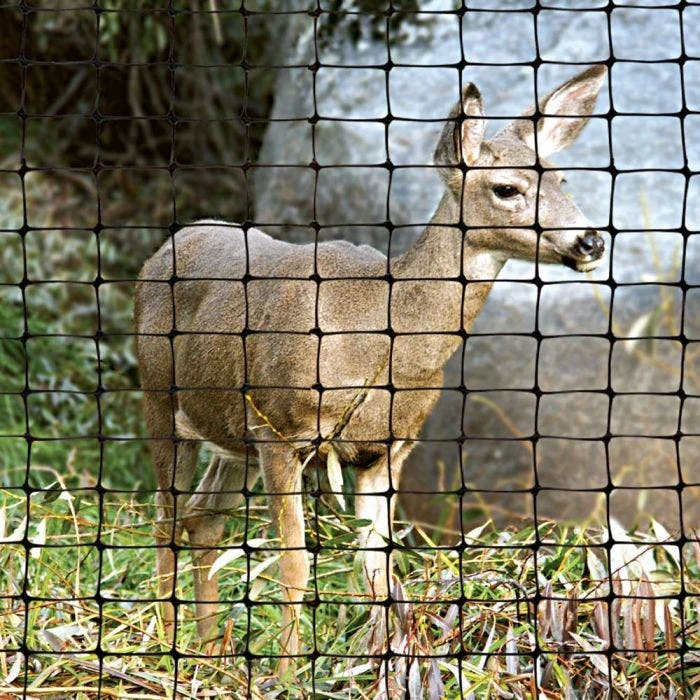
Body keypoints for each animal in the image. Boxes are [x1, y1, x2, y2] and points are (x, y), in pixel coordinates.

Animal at [134, 65, 607, 675]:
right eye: (507, 188)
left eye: (563, 180)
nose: (591, 240)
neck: (382, 340)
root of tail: (172, 241)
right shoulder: (280, 431)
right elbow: (295, 565)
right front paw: (288, 677)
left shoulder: (387, 450)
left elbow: (379, 572)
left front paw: (380, 668)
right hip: (161, 401)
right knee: (166, 518)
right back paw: (166, 648)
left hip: (230, 437)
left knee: (202, 519)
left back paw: (209, 650)